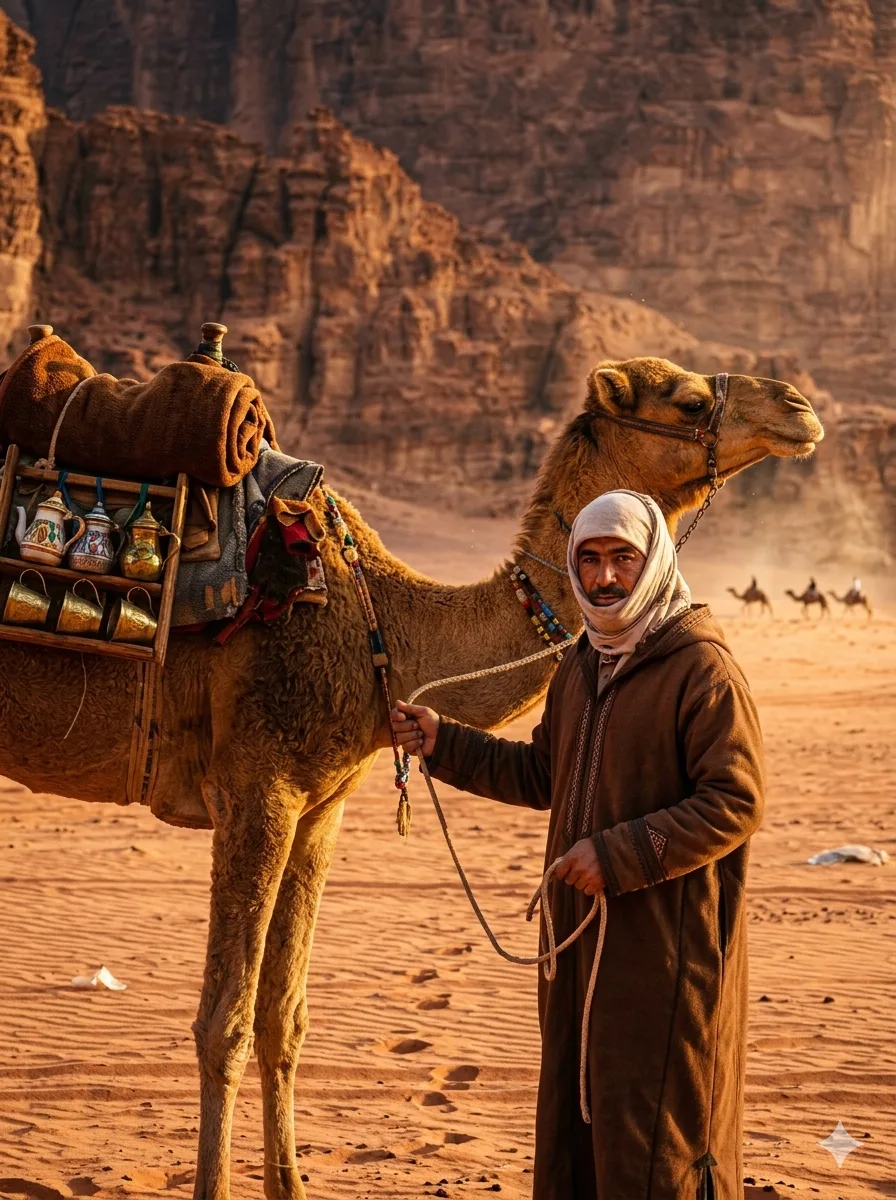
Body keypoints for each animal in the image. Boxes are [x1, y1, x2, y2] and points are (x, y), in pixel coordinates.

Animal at [0, 357, 823, 1200]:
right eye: (687, 401)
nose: (798, 406)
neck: (384, 627)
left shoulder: (317, 809)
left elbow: (282, 1017)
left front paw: (292, 1186)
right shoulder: (257, 791)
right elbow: (223, 1022)